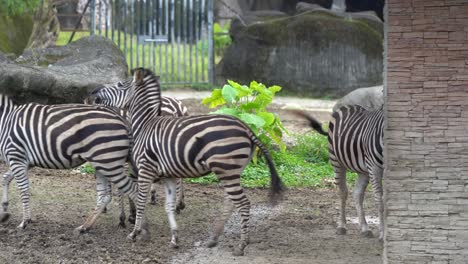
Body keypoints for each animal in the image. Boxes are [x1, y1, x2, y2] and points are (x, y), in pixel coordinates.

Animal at [0, 94, 139, 232]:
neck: (6, 120)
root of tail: (121, 118)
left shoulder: (16, 157)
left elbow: (23, 190)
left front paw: (25, 221)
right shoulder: (24, 162)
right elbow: (5, 178)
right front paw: (4, 212)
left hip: (109, 162)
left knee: (132, 190)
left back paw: (137, 229)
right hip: (103, 163)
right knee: (105, 196)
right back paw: (85, 227)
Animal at [88, 67, 286, 256]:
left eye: (120, 84)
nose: (94, 93)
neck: (144, 123)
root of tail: (246, 127)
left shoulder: (145, 167)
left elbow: (139, 197)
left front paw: (134, 231)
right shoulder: (165, 173)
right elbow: (166, 205)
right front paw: (174, 237)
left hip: (226, 168)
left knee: (243, 203)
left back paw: (241, 245)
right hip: (231, 170)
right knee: (231, 202)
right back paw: (213, 238)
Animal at [294, 104, 386, 239]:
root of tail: (348, 106)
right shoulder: (374, 167)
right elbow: (380, 200)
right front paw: (383, 235)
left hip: (363, 169)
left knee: (357, 194)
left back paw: (365, 228)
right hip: (336, 160)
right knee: (343, 192)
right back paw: (342, 226)